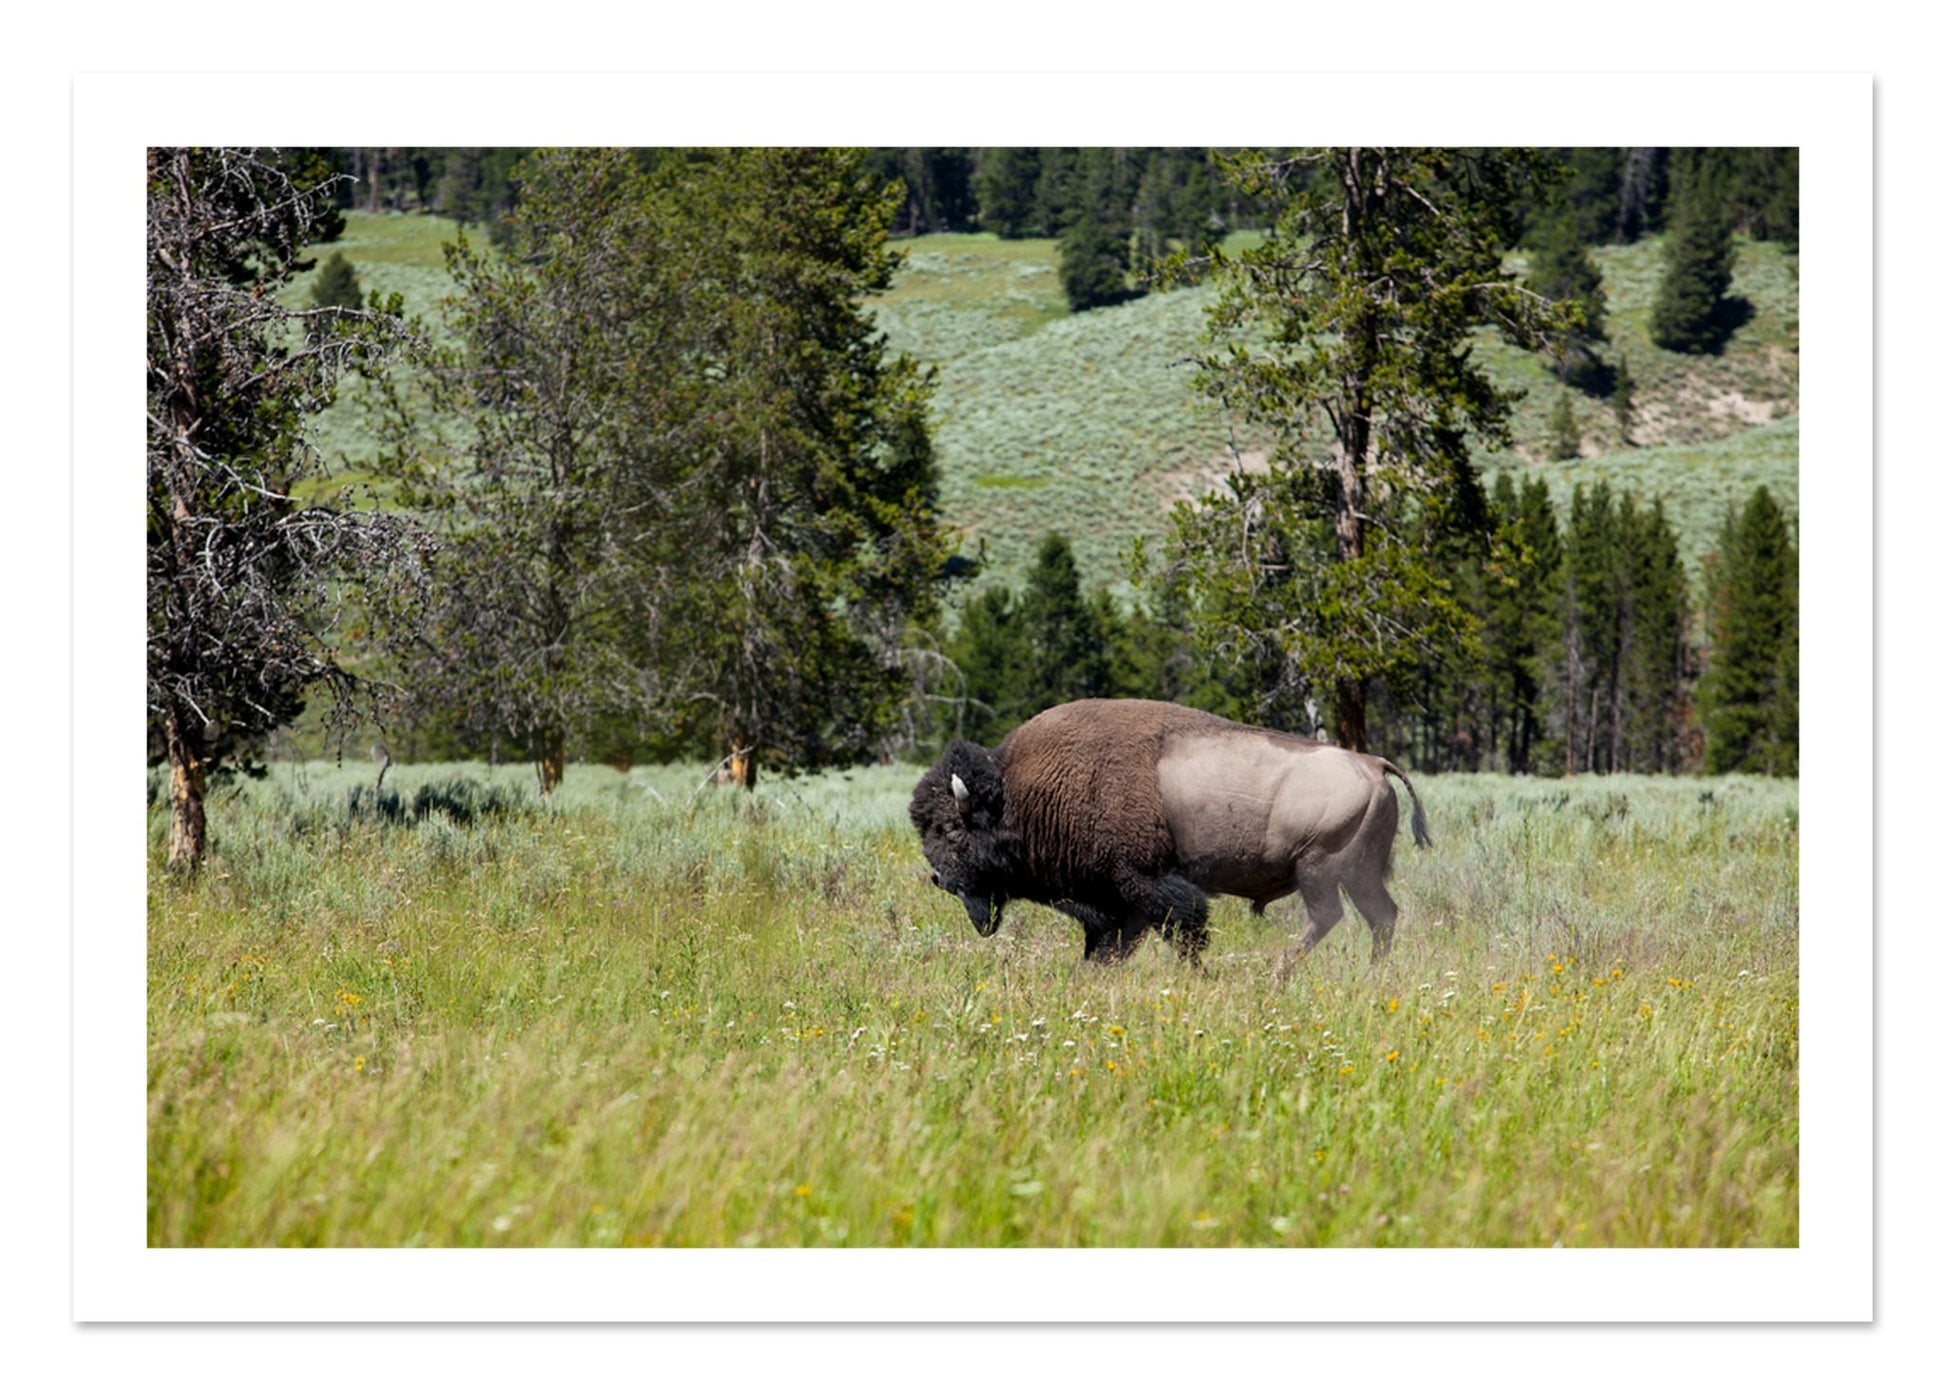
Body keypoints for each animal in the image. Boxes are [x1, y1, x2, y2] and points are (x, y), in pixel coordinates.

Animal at [909, 699, 1430, 969]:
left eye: (951, 830)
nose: (939, 878)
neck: (1020, 792)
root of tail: (1372, 763)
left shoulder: (1145, 884)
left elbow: (1183, 930)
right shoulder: (1115, 903)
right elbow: (1109, 946)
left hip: (1319, 869)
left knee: (1329, 917)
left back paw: (1277, 973)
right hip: (1358, 874)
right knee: (1381, 916)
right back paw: (1370, 973)